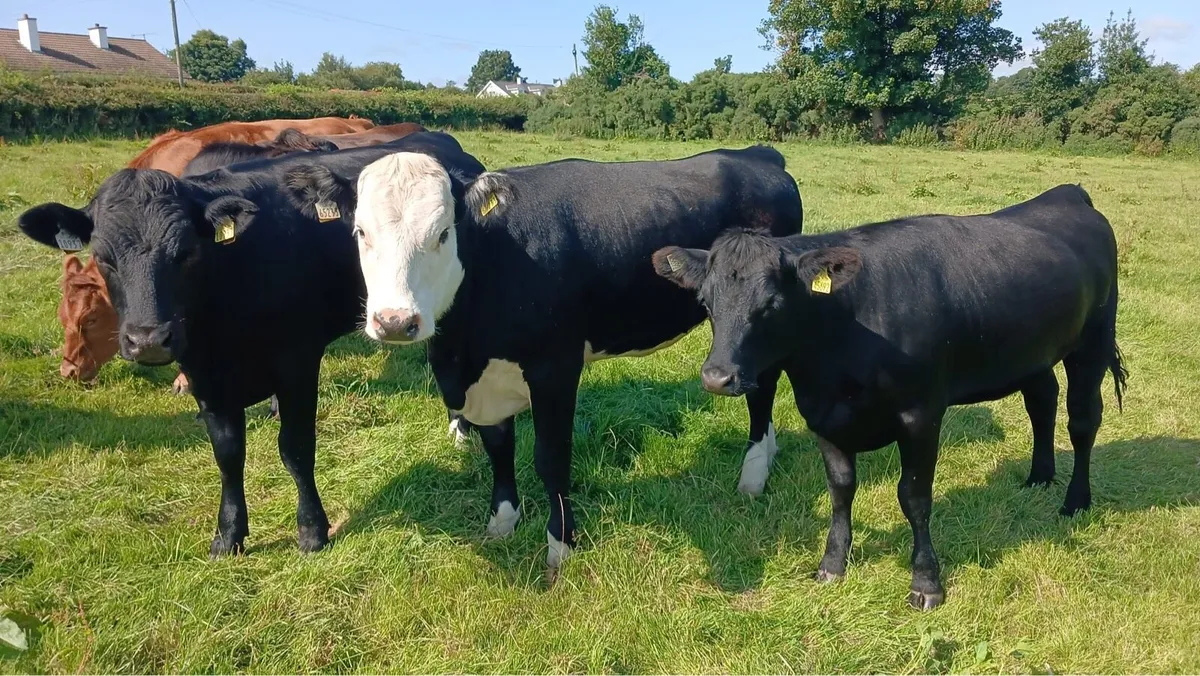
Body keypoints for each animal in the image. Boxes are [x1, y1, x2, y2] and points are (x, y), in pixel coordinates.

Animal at [18, 132, 486, 556]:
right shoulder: (205, 375)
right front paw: (229, 535)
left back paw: (461, 425)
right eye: (104, 257)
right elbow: (228, 454)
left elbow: (295, 448)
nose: (148, 339)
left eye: (186, 252)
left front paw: (312, 531)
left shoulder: (298, 362)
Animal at [287, 146, 804, 570]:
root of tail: (758, 155)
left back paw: (755, 470)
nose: (395, 321)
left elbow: (550, 459)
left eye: (443, 233)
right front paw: (502, 521)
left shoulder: (555, 369)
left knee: (763, 387)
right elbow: (499, 447)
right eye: (360, 232)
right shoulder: (485, 382)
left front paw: (561, 545)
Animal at [652, 184, 1127, 610]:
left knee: (1083, 420)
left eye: (771, 304)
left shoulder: (921, 415)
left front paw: (926, 583)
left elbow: (914, 497)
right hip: (1034, 352)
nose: (717, 377)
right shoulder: (822, 414)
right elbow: (841, 489)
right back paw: (1038, 477)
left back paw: (1075, 501)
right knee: (1042, 401)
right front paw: (832, 564)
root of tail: (1067, 193)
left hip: (1094, 339)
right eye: (706, 302)